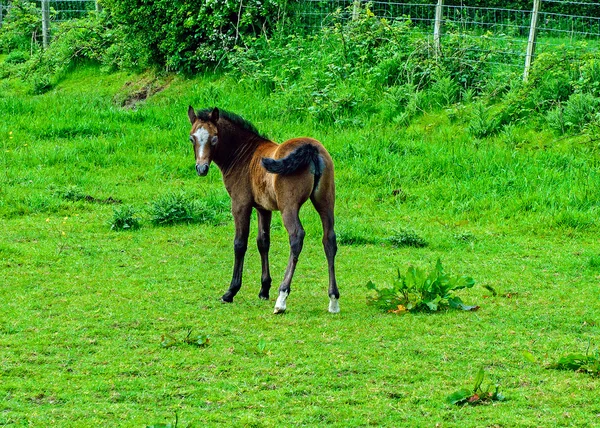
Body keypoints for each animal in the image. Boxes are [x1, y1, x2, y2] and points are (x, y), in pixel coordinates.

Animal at [185, 107, 340, 314]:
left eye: (214, 138)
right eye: (192, 138)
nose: (201, 168)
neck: (245, 156)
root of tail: (311, 148)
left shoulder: (240, 204)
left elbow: (240, 243)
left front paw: (231, 292)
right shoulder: (263, 208)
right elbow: (263, 242)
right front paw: (264, 289)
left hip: (289, 207)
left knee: (296, 237)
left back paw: (282, 298)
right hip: (326, 201)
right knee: (329, 239)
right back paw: (333, 300)